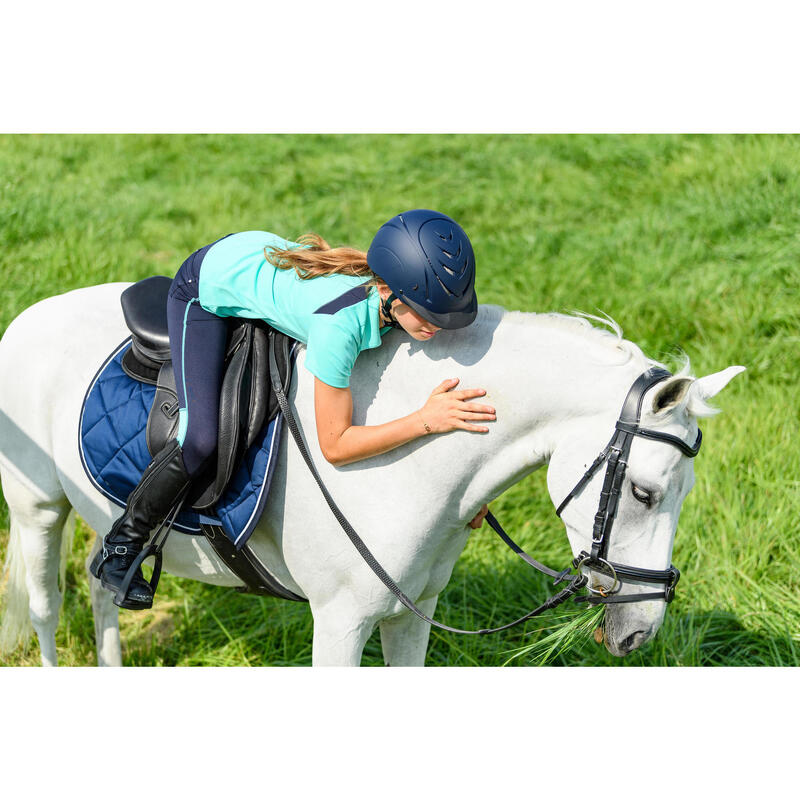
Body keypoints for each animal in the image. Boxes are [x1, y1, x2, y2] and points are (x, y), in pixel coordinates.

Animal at [0, 284, 744, 664]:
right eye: (644, 492)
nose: (641, 633)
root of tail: (29, 316)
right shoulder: (338, 623)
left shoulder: (414, 613)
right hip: (39, 509)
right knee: (46, 606)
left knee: (104, 588)